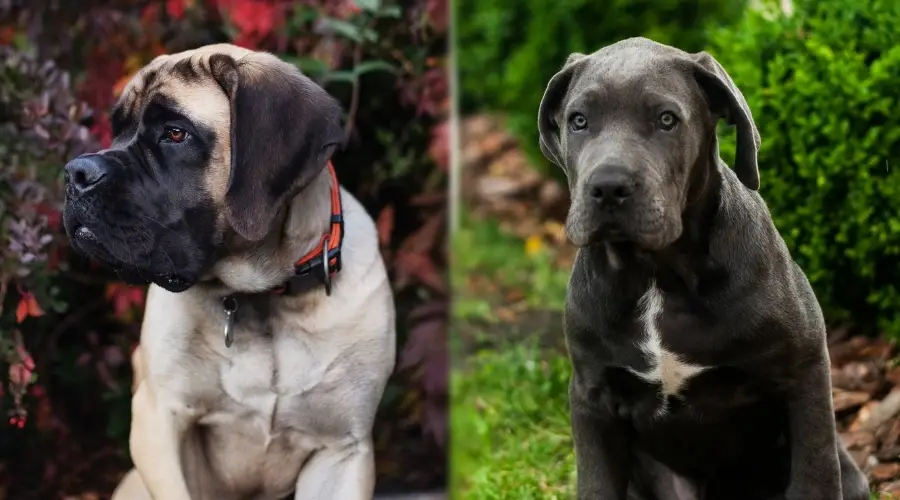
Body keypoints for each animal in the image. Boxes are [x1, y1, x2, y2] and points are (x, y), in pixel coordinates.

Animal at [62, 44, 398, 500]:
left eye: (175, 133)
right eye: (117, 130)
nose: (76, 173)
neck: (262, 299)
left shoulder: (343, 450)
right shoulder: (159, 419)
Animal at [536, 38, 868, 500]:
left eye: (667, 120)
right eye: (578, 121)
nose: (608, 187)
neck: (657, 275)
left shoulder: (803, 370)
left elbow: (813, 474)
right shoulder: (593, 397)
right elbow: (597, 484)